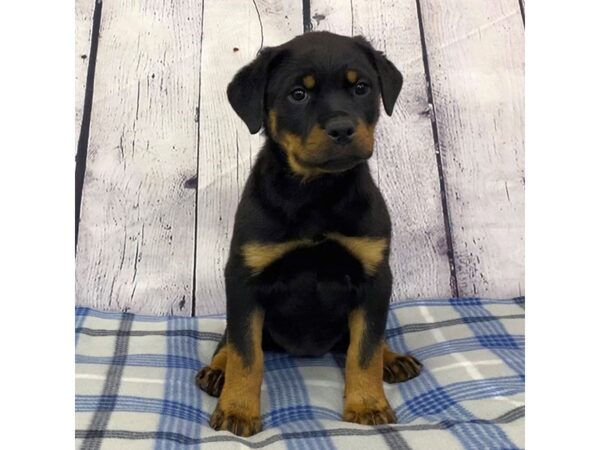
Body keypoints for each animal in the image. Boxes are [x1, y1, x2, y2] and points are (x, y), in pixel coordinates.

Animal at [196, 30, 422, 436]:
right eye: (298, 94)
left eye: (361, 88)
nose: (342, 128)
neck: (316, 192)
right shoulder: (243, 277)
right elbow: (245, 353)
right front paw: (238, 411)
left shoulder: (375, 277)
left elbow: (365, 349)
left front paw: (367, 404)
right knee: (229, 340)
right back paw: (217, 371)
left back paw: (392, 358)